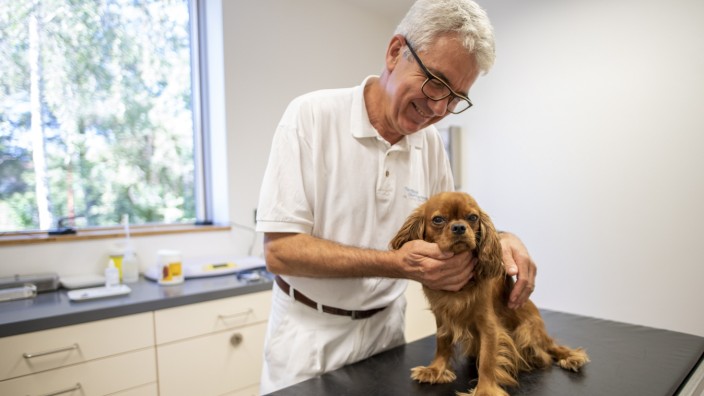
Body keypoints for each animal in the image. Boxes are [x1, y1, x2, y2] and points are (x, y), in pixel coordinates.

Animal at [390, 191, 588, 392]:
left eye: (472, 217)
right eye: (438, 220)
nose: (459, 227)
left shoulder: (489, 326)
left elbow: (487, 359)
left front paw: (485, 390)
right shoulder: (442, 318)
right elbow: (442, 343)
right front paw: (436, 370)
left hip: (529, 331)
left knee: (551, 346)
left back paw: (571, 357)